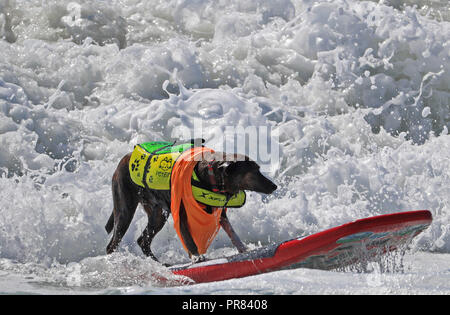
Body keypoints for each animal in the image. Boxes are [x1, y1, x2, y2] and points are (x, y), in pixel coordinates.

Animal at [105, 142, 276, 262]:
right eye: (253, 172)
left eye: (258, 169)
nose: (274, 186)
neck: (209, 176)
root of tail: (122, 162)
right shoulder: (180, 214)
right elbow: (188, 239)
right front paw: (196, 256)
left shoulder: (219, 212)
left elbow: (232, 232)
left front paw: (244, 249)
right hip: (125, 211)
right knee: (112, 244)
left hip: (157, 215)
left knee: (143, 241)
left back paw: (159, 264)